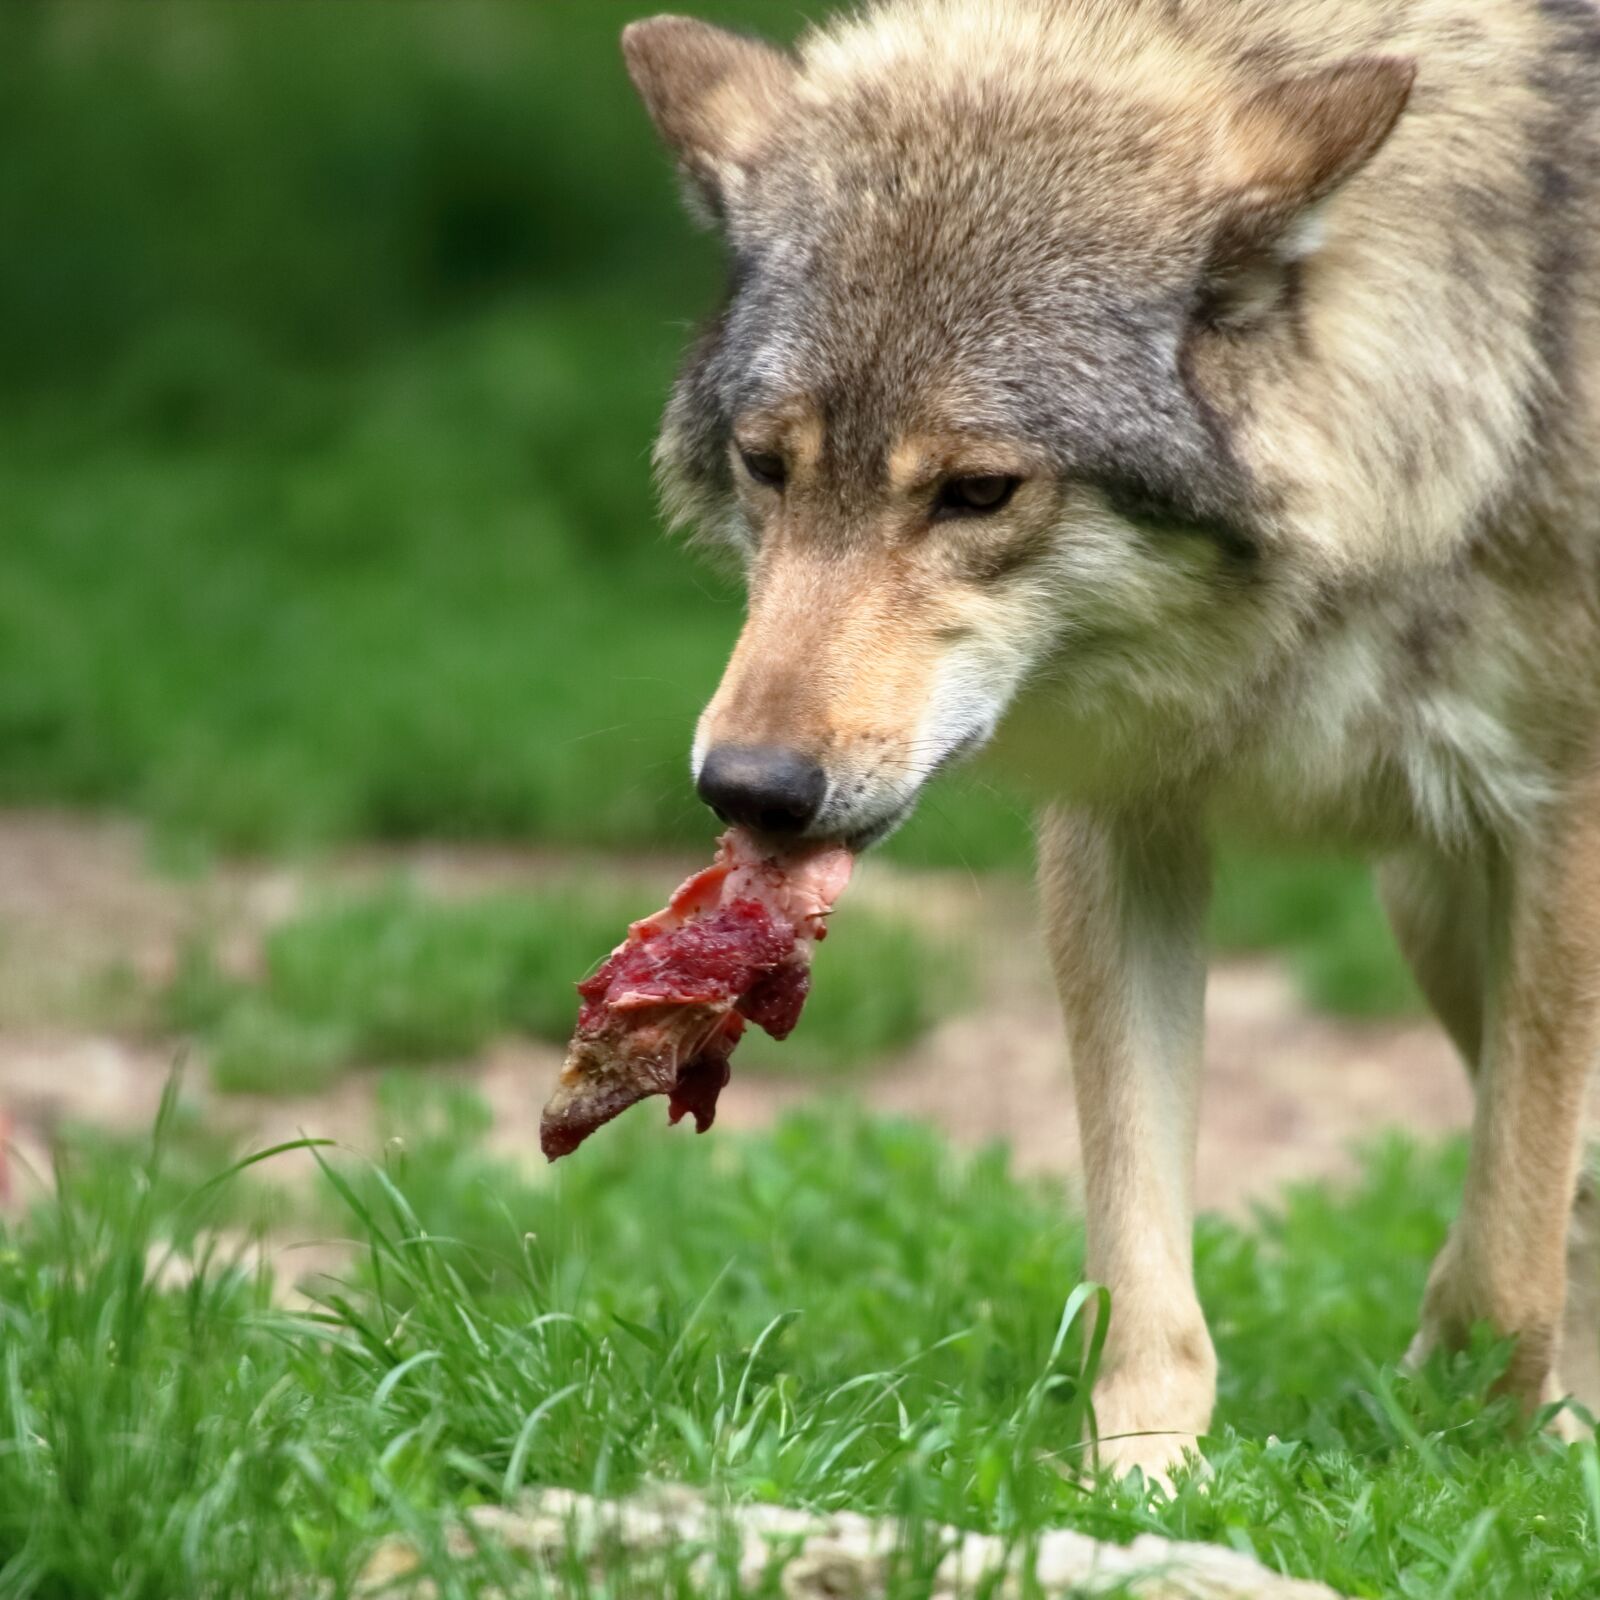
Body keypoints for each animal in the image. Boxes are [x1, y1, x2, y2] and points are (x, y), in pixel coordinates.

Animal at [619, 0, 1600, 1482]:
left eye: (978, 491)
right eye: (766, 464)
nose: (750, 789)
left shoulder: (1562, 823)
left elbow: (1508, 1238)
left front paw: (1473, 1436)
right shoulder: (1120, 828)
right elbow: (1137, 1238)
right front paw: (1139, 1475)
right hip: (1427, 912)